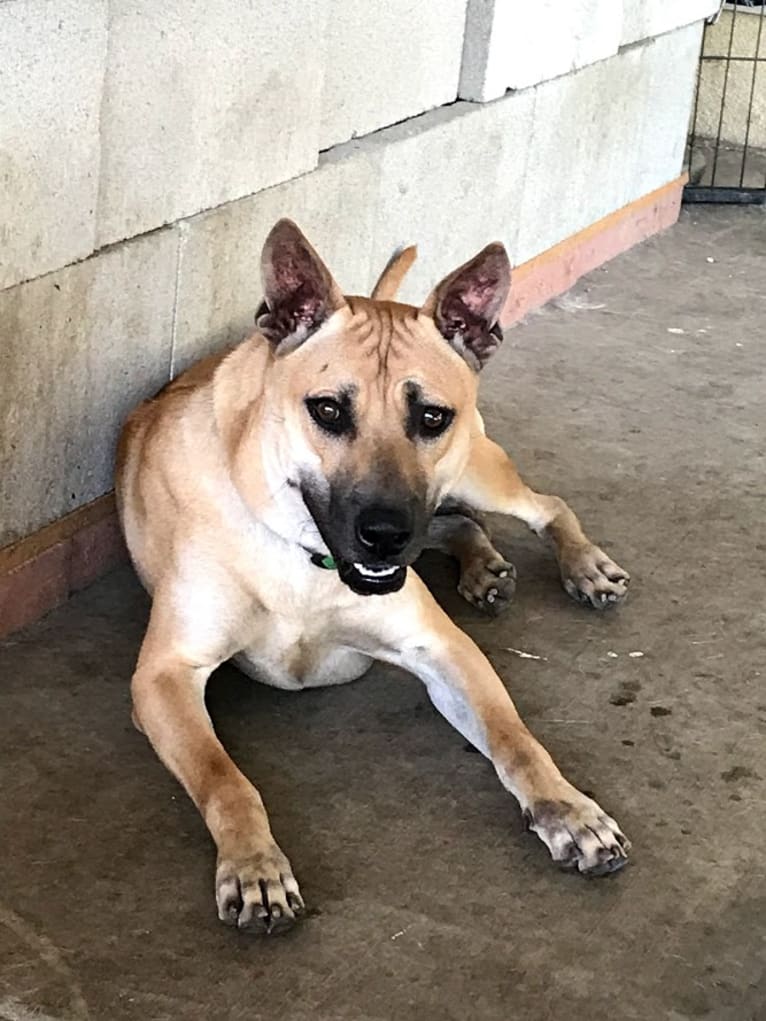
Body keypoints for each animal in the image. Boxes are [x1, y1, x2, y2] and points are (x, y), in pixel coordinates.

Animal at [116, 221, 633, 935]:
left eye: (432, 417)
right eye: (329, 411)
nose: (385, 533)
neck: (301, 554)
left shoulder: (442, 648)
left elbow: (514, 737)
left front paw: (569, 809)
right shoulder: (164, 676)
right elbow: (225, 779)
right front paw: (254, 866)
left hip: (476, 473)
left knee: (538, 507)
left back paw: (582, 565)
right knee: (456, 523)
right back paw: (483, 567)